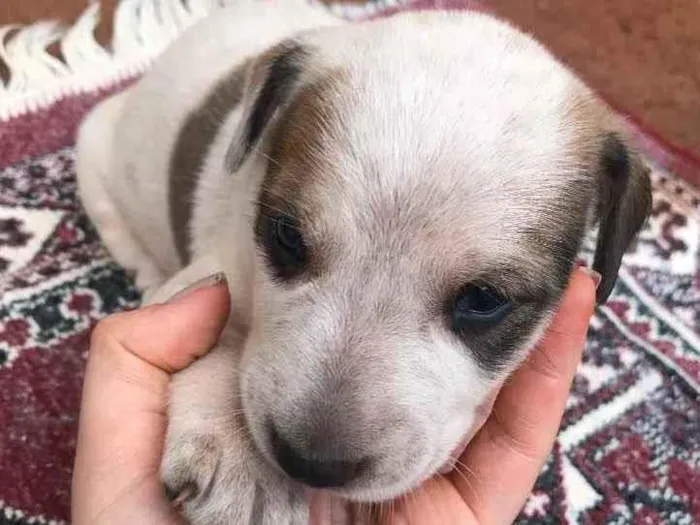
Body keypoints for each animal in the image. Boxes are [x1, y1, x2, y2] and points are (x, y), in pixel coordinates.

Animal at [75, 2, 652, 520]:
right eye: (287, 237)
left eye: (484, 301)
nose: (309, 464)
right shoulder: (209, 275)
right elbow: (217, 328)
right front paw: (242, 456)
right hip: (93, 150)